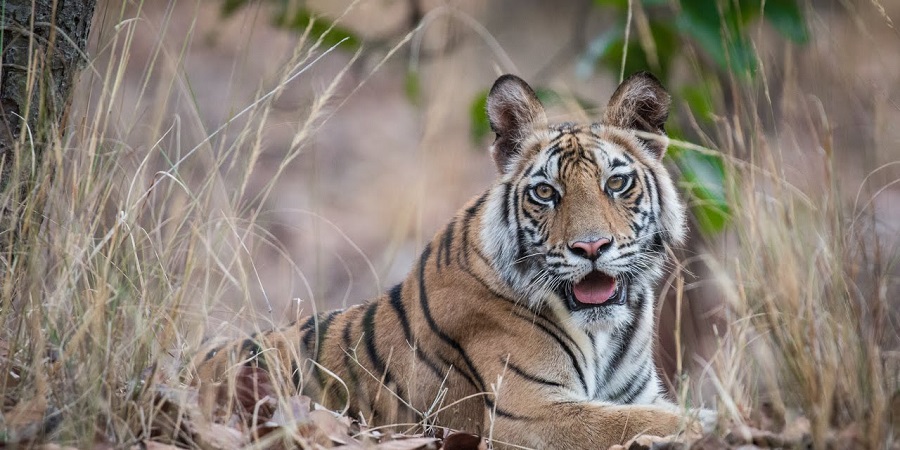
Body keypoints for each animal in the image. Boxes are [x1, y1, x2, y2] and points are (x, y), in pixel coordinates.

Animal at [195, 72, 712, 448]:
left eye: (616, 183)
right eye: (546, 193)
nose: (590, 248)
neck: (607, 332)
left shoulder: (630, 392)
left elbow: (651, 412)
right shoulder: (528, 412)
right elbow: (642, 422)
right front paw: (707, 422)